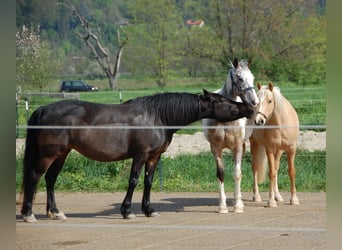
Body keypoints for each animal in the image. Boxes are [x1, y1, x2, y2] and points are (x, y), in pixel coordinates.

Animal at [19, 89, 254, 222]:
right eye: (225, 102)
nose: (250, 108)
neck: (157, 117)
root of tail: (42, 109)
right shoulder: (140, 156)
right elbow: (133, 180)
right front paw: (127, 211)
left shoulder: (153, 158)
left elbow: (148, 182)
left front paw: (148, 210)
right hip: (49, 155)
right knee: (34, 177)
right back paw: (29, 214)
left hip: (62, 154)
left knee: (50, 180)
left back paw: (55, 212)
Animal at [202, 58, 258, 213]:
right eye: (240, 78)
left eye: (253, 78)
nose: (254, 102)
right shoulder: (215, 148)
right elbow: (221, 174)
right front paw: (222, 207)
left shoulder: (237, 146)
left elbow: (237, 174)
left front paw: (238, 206)